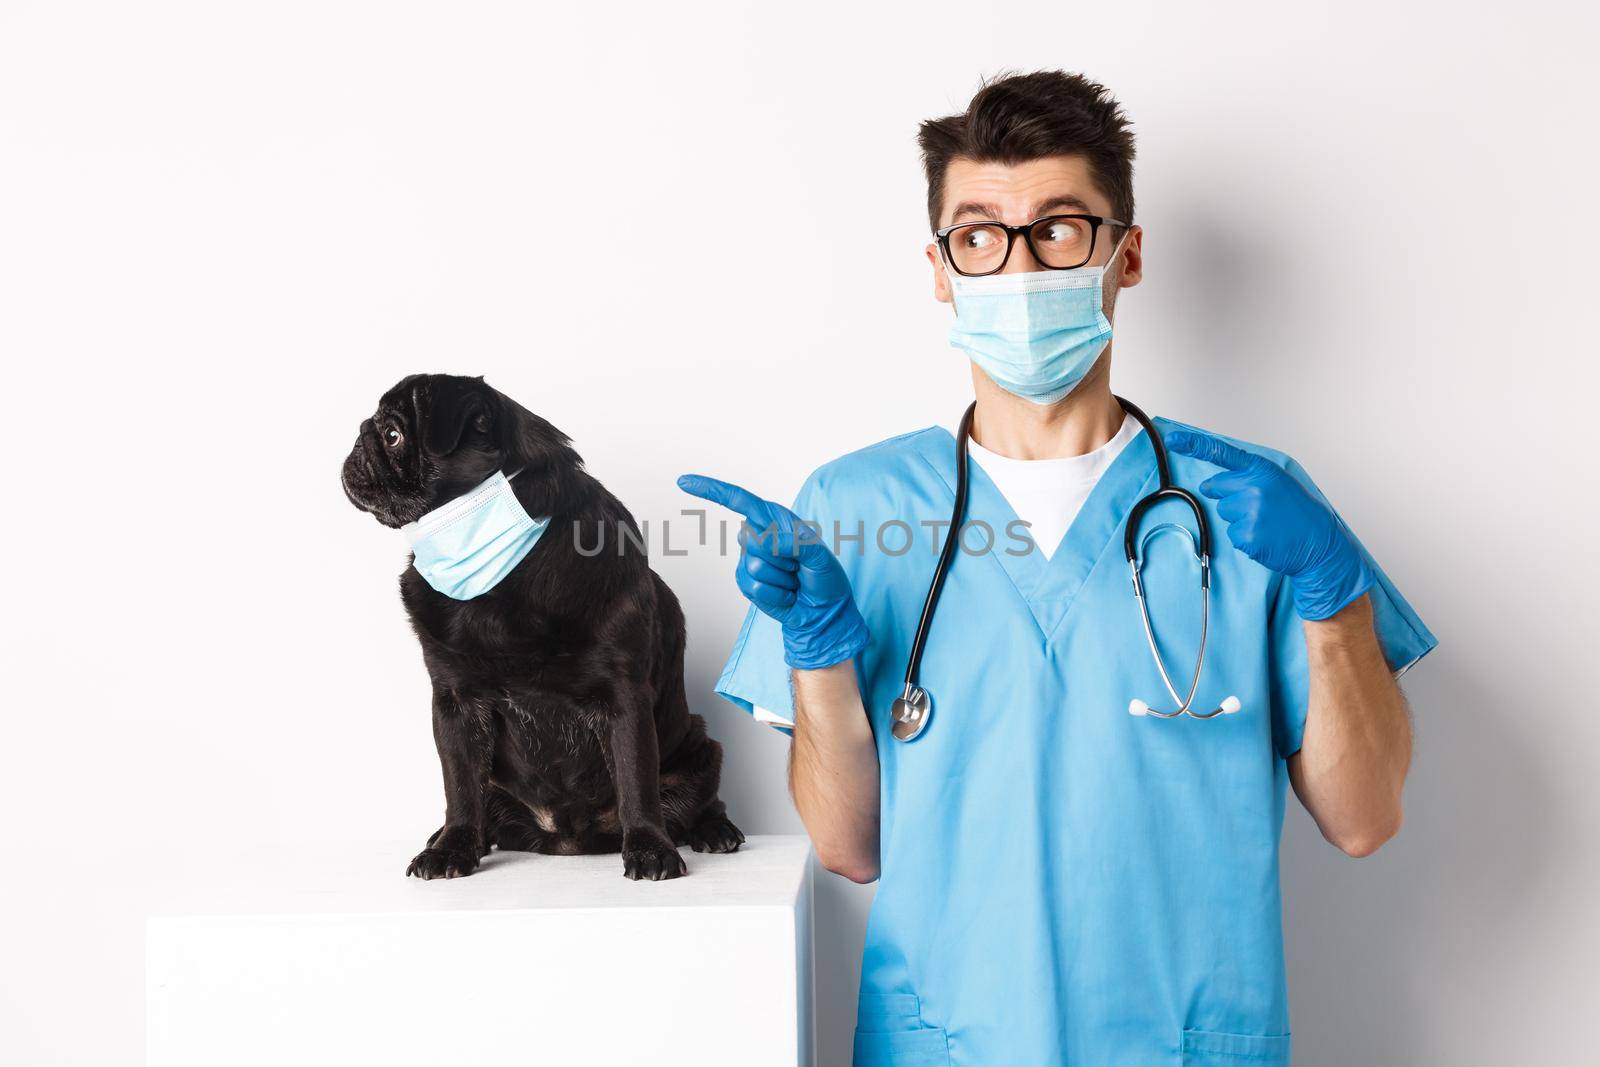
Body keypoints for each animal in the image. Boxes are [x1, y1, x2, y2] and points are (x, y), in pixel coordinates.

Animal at [340, 375, 739, 883]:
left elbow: (637, 781)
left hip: (703, 747)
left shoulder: (624, 699)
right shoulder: (454, 703)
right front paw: (452, 848)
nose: (359, 437)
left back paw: (716, 830)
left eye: (392, 435)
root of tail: (565, 839)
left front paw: (650, 848)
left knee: (700, 800)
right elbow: (459, 787)